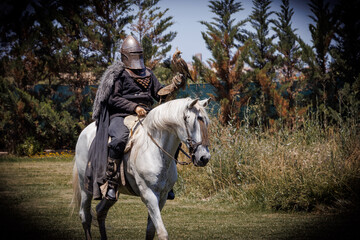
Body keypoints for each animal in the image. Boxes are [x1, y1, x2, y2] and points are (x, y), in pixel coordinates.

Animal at [71, 98, 210, 240]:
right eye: (191, 122)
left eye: (205, 122)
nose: (204, 157)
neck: (155, 150)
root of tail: (84, 133)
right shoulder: (149, 194)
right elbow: (162, 232)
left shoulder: (162, 196)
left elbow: (151, 230)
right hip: (85, 188)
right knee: (85, 216)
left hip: (113, 193)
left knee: (100, 211)